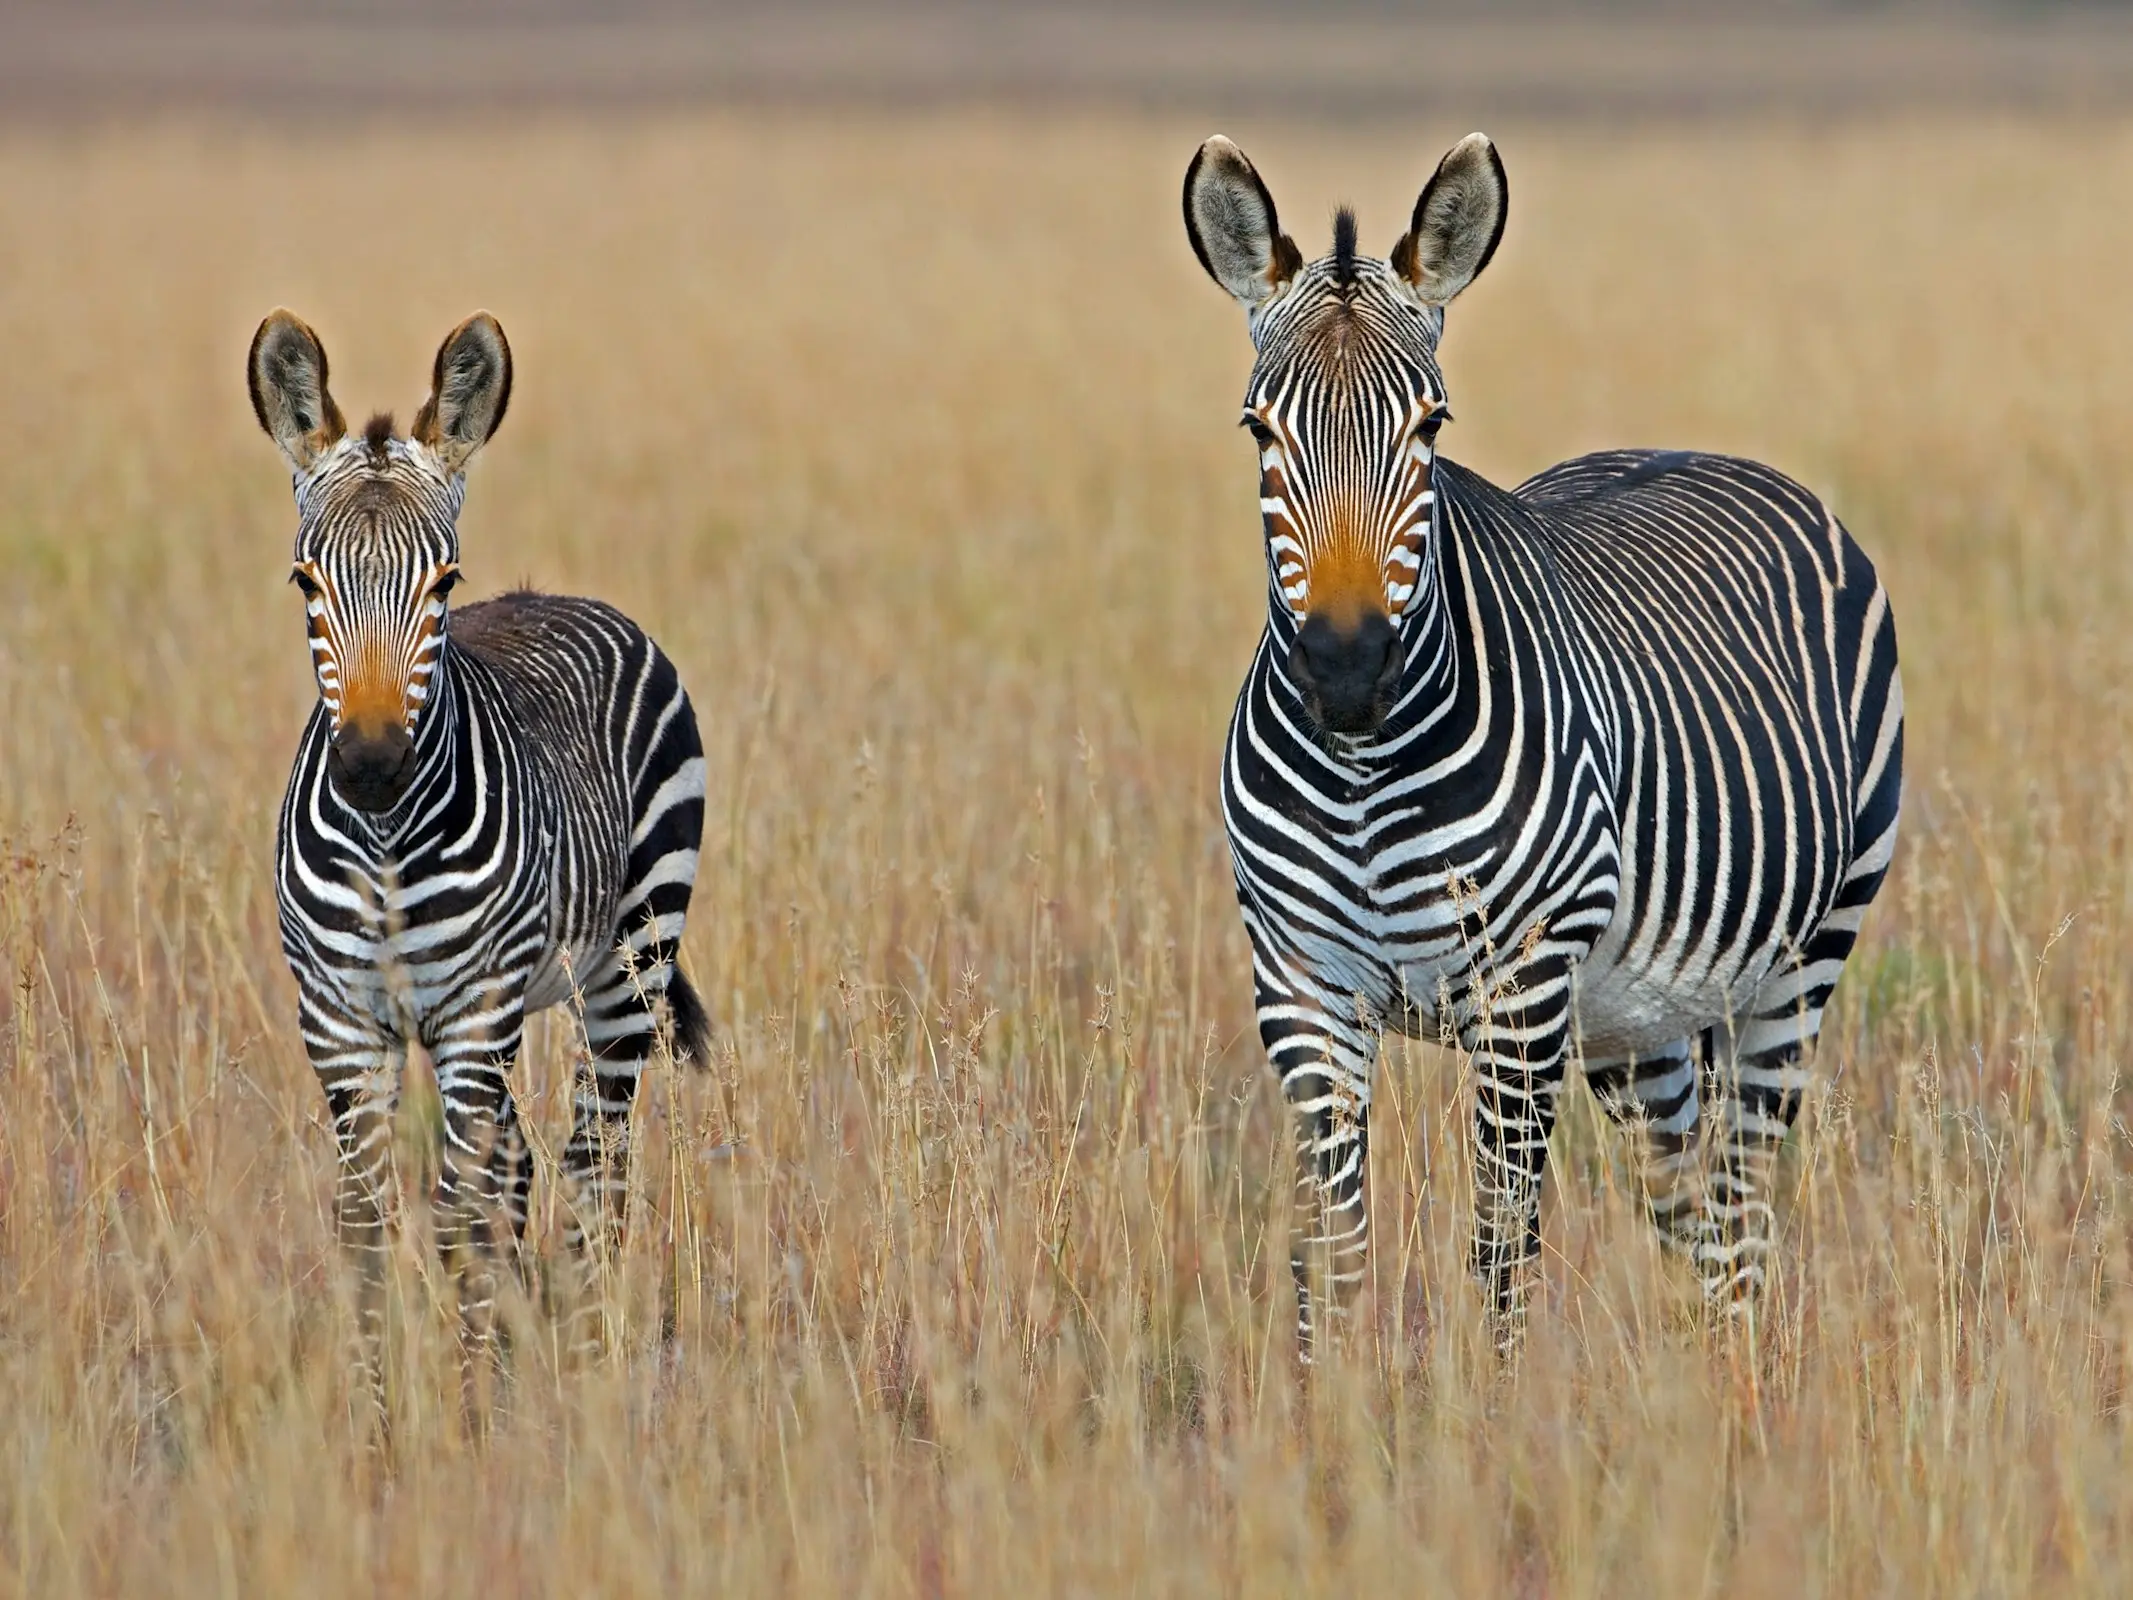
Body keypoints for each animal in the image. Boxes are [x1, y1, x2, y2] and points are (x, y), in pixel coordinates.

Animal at [250, 313, 712, 1416]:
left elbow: (458, 1222)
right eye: (305, 583)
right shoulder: (340, 1022)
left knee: (593, 1166)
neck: (384, 845)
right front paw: (378, 1426)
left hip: (627, 966)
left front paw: (466, 1424)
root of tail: (563, 597)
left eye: (444, 584)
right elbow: (369, 1227)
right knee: (525, 1167)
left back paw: (586, 1370)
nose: (374, 766)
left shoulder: (472, 1017)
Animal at [1185, 140, 1902, 1365]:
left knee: (1743, 1208)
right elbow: (1331, 1260)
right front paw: (1321, 1414)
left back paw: (1739, 1390)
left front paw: (1489, 1415)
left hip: (1800, 960)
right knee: (1688, 1205)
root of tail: (1701, 447)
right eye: (1258, 432)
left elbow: (1498, 1256)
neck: (1364, 774)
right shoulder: (1302, 989)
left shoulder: (1519, 994)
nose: (1345, 670)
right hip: (1636, 1016)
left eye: (1430, 426)